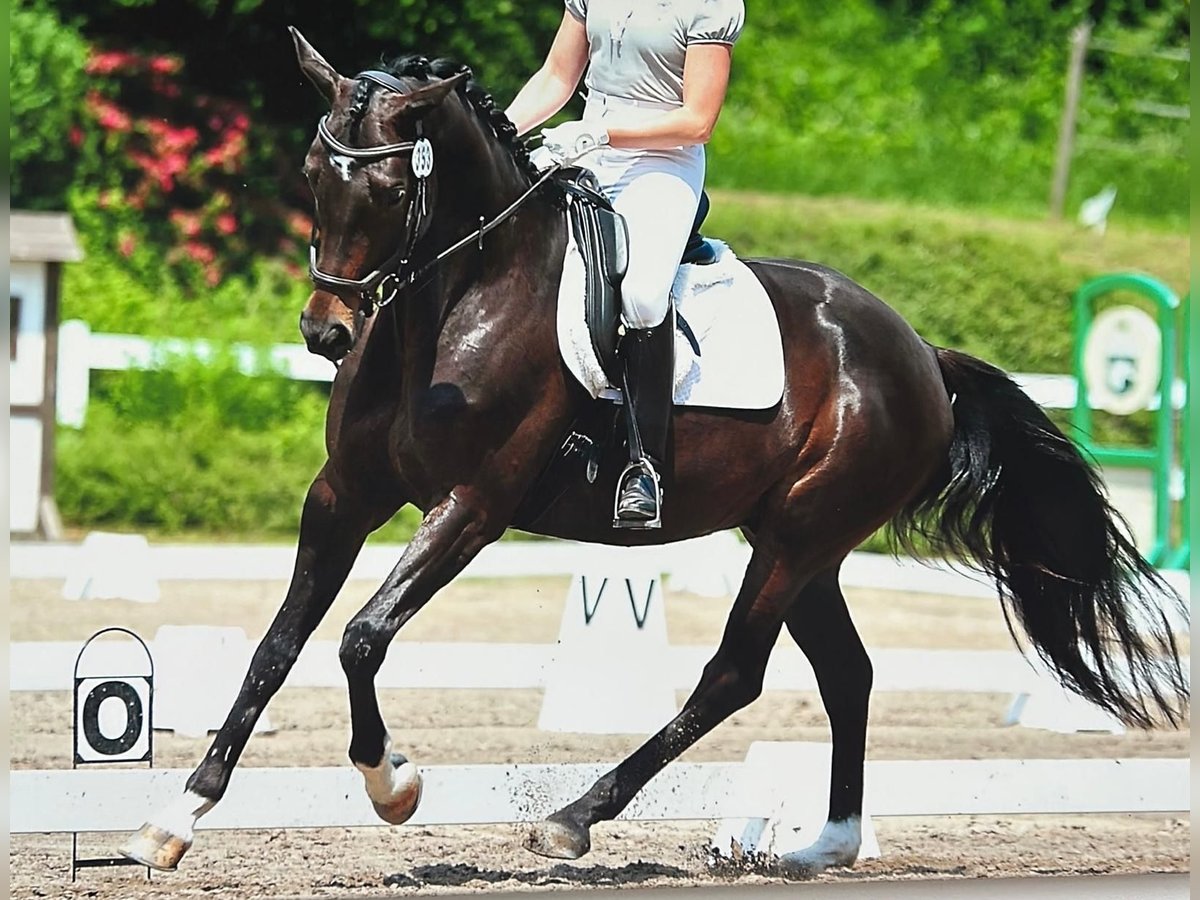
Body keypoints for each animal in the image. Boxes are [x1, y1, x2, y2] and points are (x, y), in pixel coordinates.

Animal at [117, 31, 1185, 878]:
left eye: (387, 185)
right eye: (311, 172)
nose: (325, 332)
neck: (453, 305)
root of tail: (921, 350)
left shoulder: (473, 506)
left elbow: (360, 637)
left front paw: (395, 786)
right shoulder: (342, 494)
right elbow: (277, 644)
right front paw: (175, 819)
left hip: (798, 536)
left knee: (734, 675)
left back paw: (573, 821)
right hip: (807, 543)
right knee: (846, 674)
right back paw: (825, 844)